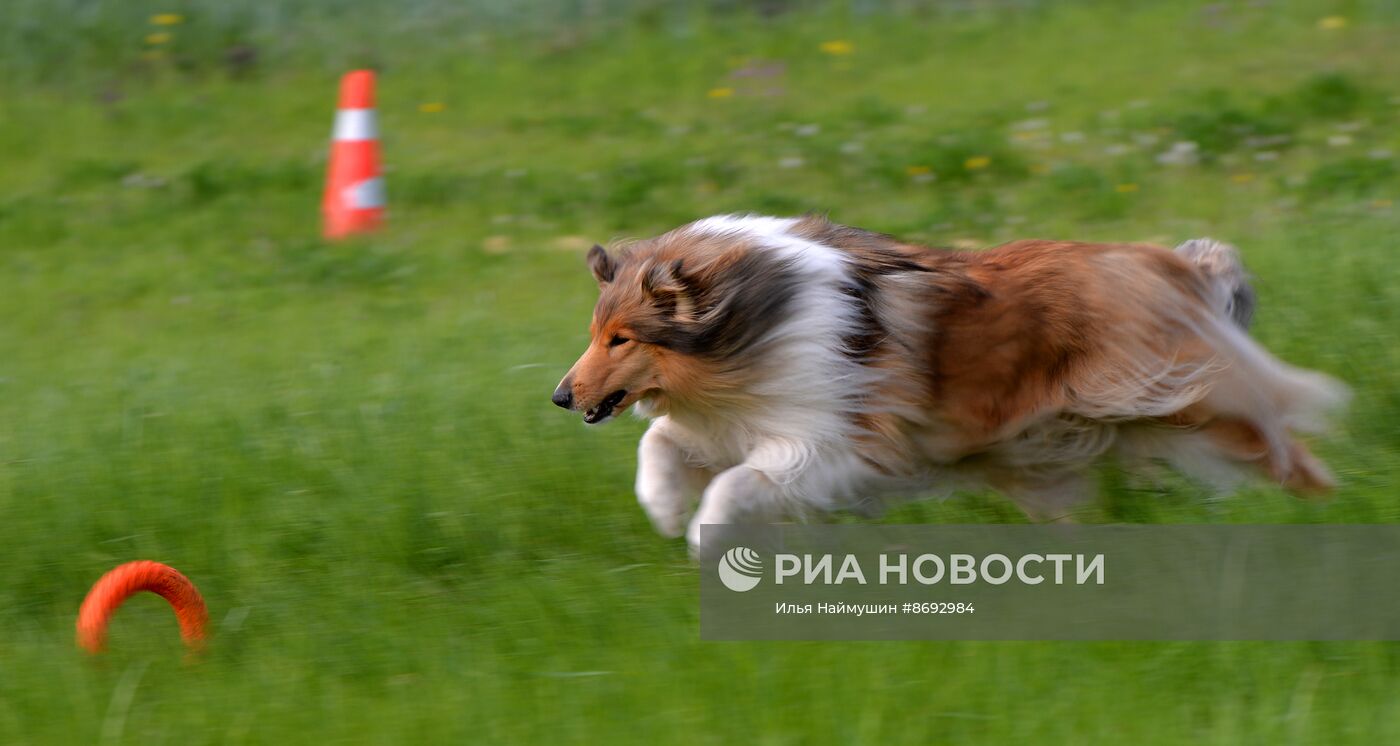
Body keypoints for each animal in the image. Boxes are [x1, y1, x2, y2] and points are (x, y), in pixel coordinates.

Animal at [546, 212, 1344, 548]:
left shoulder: (829, 444)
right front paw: (662, 511)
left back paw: (1325, 512)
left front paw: (699, 537)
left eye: (620, 338)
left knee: (1286, 449)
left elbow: (733, 484)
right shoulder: (727, 421)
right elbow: (661, 444)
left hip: (1179, 401)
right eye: (594, 333)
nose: (561, 396)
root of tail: (1176, 264)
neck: (754, 320)